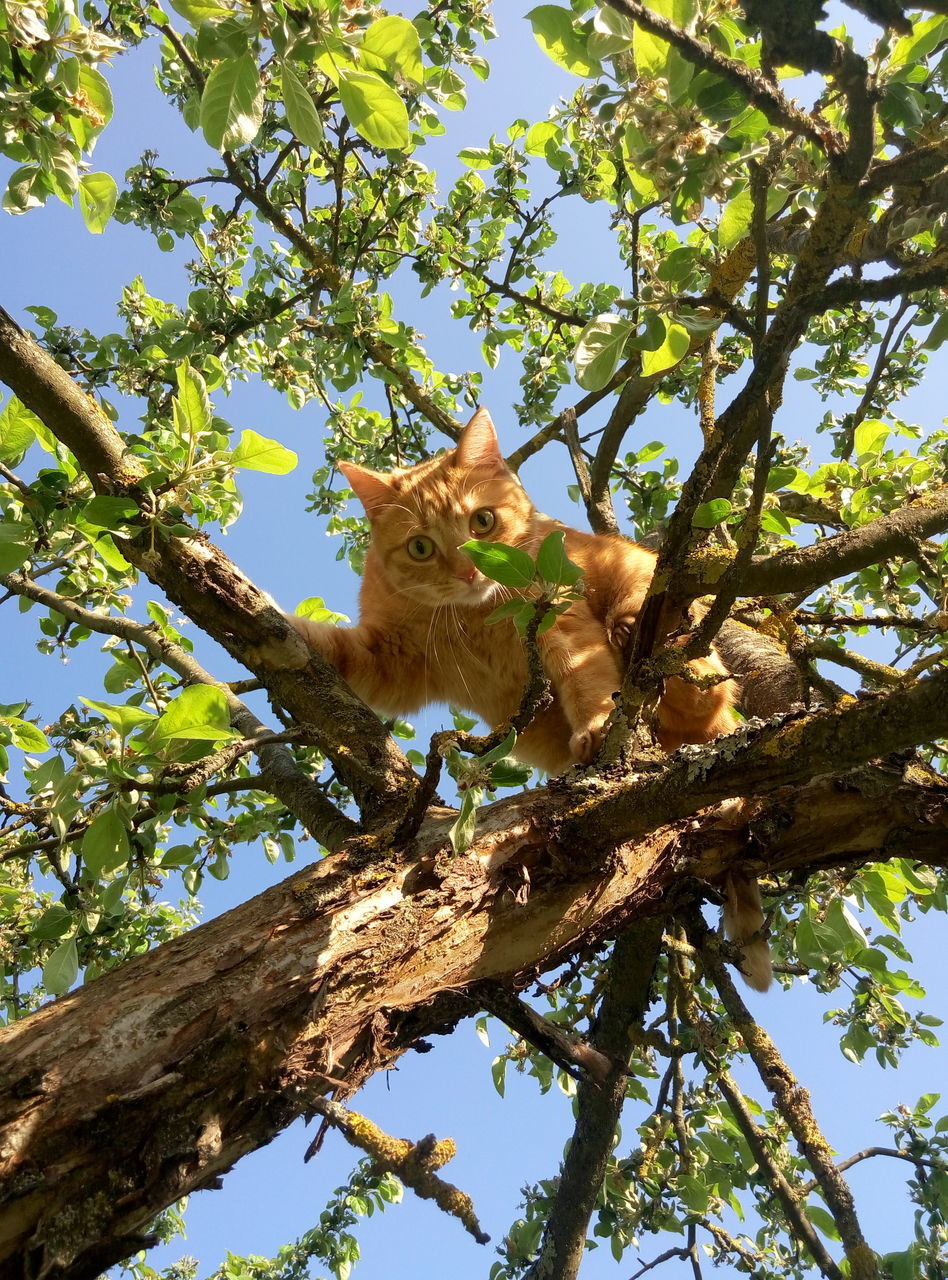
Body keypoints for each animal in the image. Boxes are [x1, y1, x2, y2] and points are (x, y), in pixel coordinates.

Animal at [290, 407, 767, 988]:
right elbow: (325, 647)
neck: (475, 615)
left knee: (696, 680)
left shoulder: (560, 623)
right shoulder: (389, 660)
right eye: (421, 547)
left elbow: (586, 679)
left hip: (643, 584)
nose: (470, 569)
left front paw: (597, 726)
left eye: (482, 523)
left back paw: (647, 641)